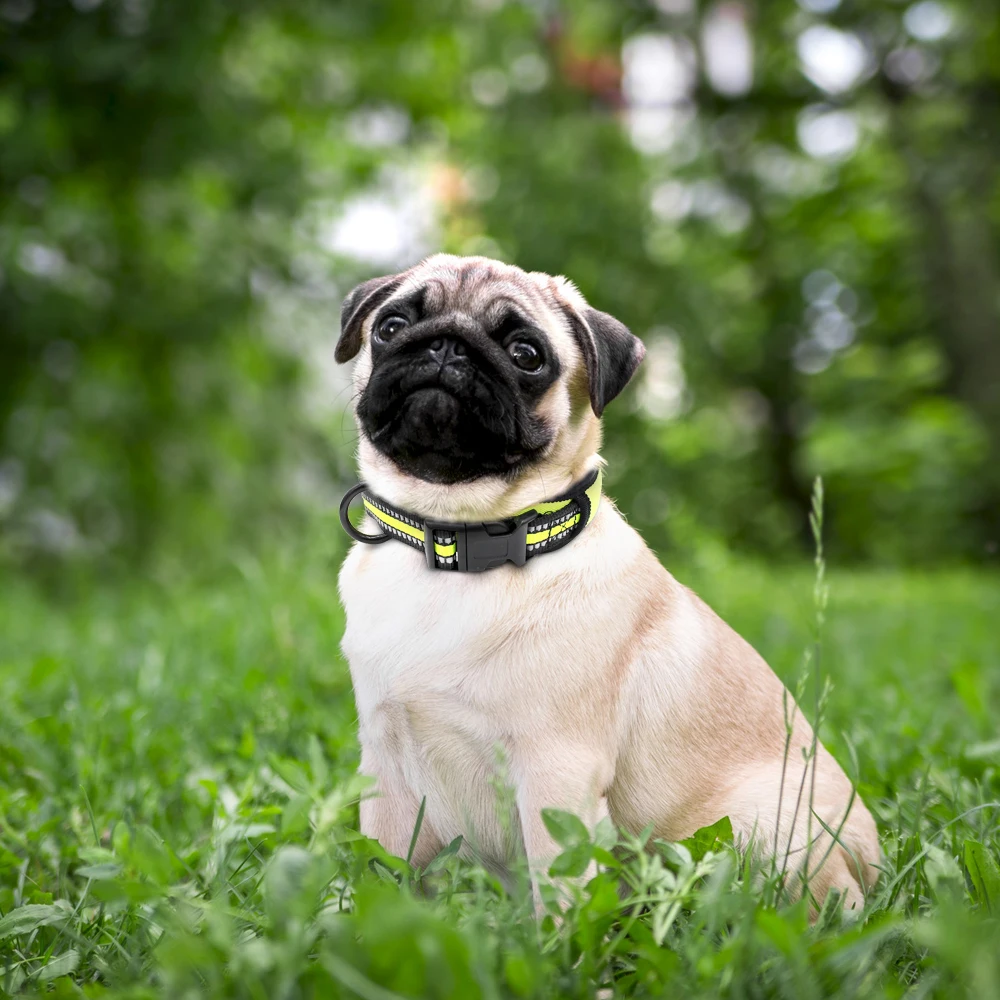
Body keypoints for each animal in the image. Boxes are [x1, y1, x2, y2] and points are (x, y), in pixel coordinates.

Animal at [340, 254, 880, 912]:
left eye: (526, 354)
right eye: (390, 328)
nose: (447, 346)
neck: (455, 539)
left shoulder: (556, 772)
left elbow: (560, 893)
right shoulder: (386, 770)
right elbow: (383, 871)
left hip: (770, 831)